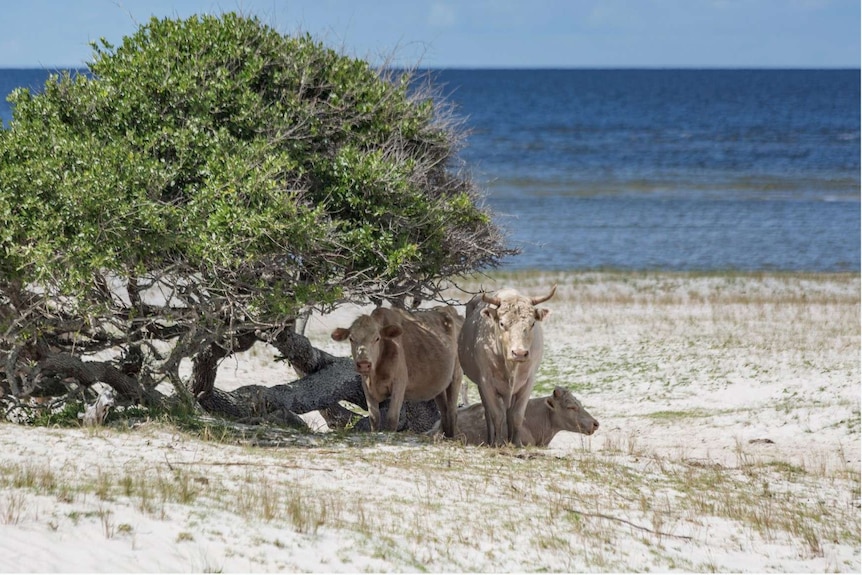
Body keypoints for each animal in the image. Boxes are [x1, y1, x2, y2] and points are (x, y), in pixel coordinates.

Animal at [332, 306, 466, 436]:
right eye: (351, 338)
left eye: (377, 338)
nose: (364, 364)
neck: (376, 375)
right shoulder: (366, 385)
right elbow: (374, 418)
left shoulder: (399, 383)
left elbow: (392, 417)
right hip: (439, 385)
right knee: (444, 411)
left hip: (456, 376)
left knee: (452, 411)